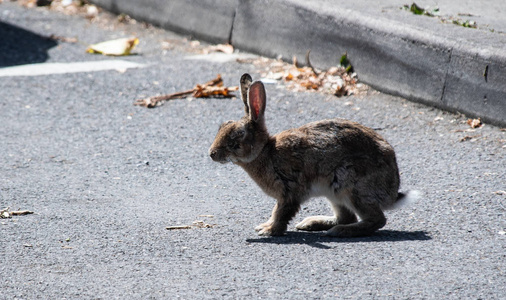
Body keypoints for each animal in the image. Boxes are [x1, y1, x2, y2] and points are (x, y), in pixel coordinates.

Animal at [208, 73, 418, 237]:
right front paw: (266, 227)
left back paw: (340, 231)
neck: (265, 151)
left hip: (352, 187)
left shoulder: (289, 191)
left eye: (237, 135)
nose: (212, 154)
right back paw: (312, 223)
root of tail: (392, 191)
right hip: (334, 193)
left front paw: (268, 230)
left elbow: (280, 213)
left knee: (377, 220)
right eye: (222, 126)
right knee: (347, 216)